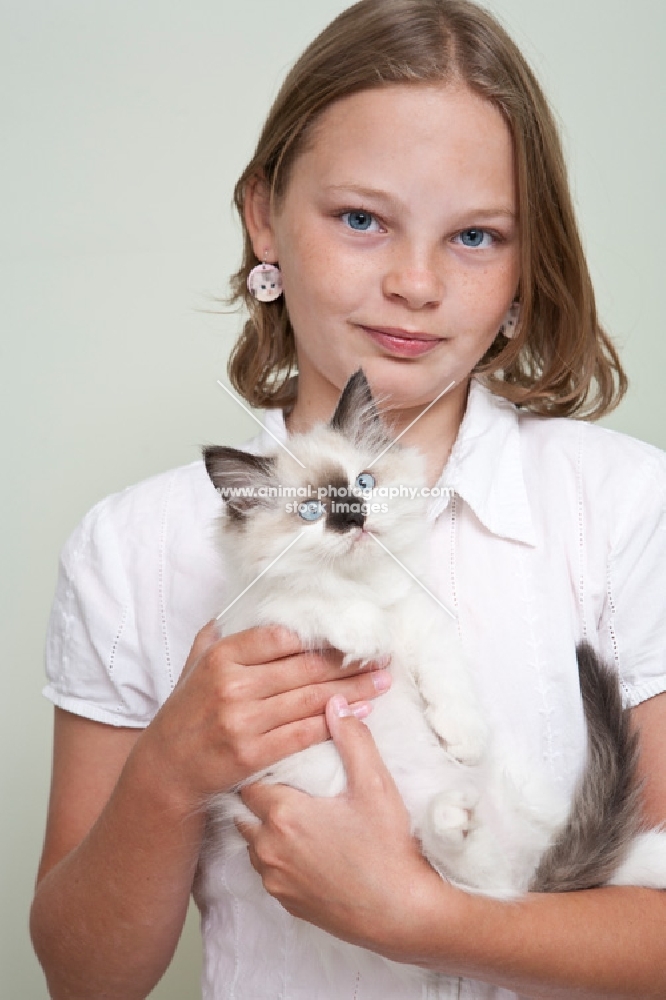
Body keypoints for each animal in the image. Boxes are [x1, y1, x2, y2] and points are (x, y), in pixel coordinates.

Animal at [202, 372, 664, 904]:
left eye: (363, 483)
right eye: (313, 511)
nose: (355, 518)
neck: (368, 586)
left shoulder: (425, 621)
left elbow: (447, 682)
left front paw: (462, 739)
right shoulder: (262, 613)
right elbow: (311, 597)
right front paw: (367, 635)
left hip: (520, 791)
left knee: (505, 881)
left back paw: (464, 815)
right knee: (487, 875)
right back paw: (454, 816)